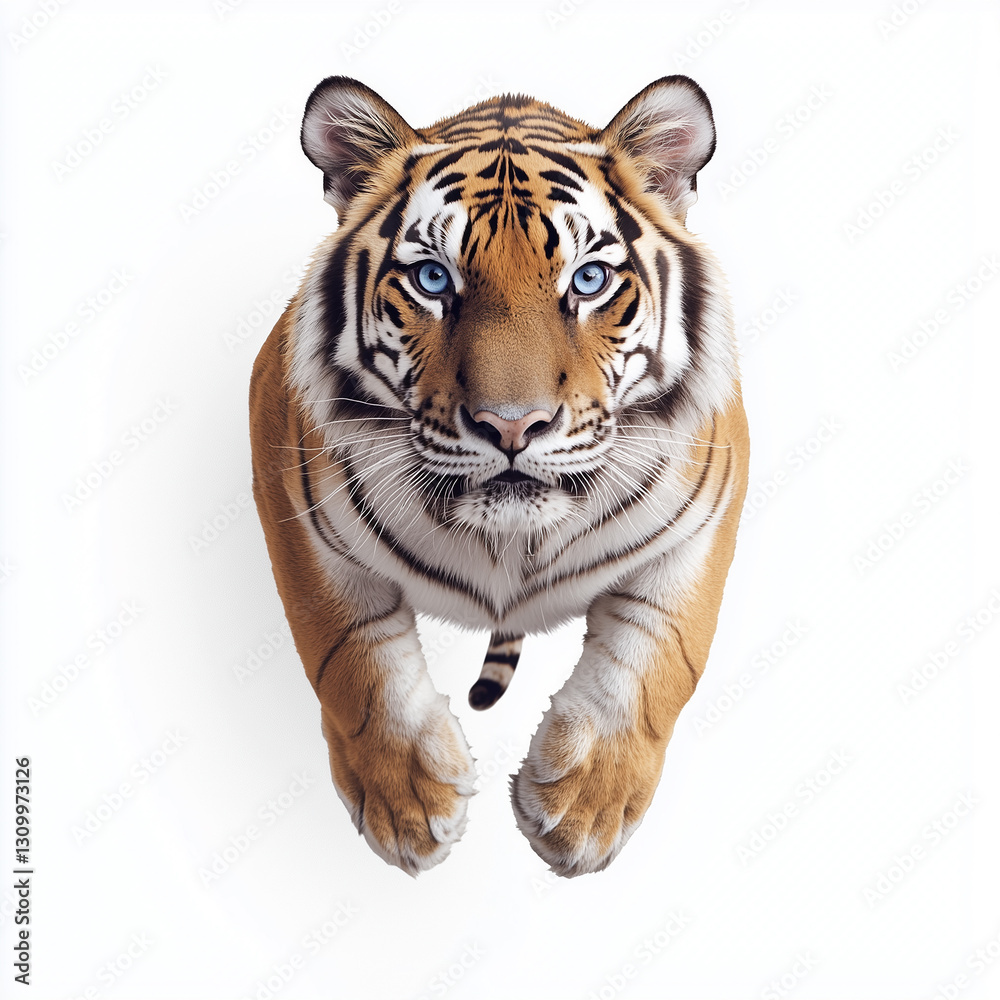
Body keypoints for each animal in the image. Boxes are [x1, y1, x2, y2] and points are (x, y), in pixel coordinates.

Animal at [249, 74, 749, 877]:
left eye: (588, 279)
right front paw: (409, 803)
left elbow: (660, 654)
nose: (512, 426)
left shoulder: (707, 509)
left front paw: (584, 807)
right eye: (432, 279)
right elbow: (348, 652)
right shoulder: (286, 484)